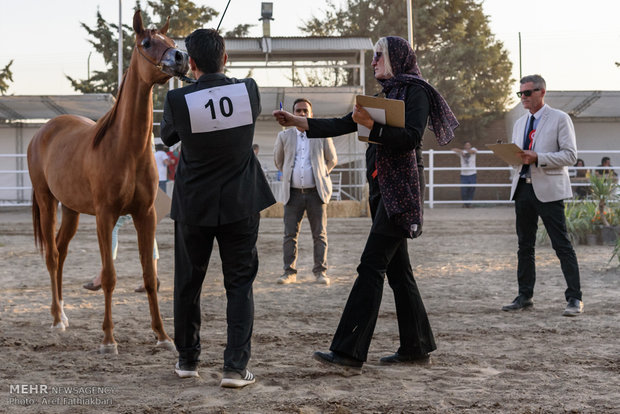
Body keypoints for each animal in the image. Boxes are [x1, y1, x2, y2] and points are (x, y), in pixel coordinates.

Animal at [26, 9, 190, 352]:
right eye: (146, 42)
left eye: (170, 41)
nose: (181, 58)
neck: (124, 148)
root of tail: (42, 131)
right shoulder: (105, 216)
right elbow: (110, 276)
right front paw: (108, 339)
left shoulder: (145, 215)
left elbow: (149, 276)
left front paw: (163, 336)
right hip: (47, 201)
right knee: (52, 255)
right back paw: (56, 319)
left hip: (72, 210)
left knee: (61, 251)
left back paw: (64, 314)